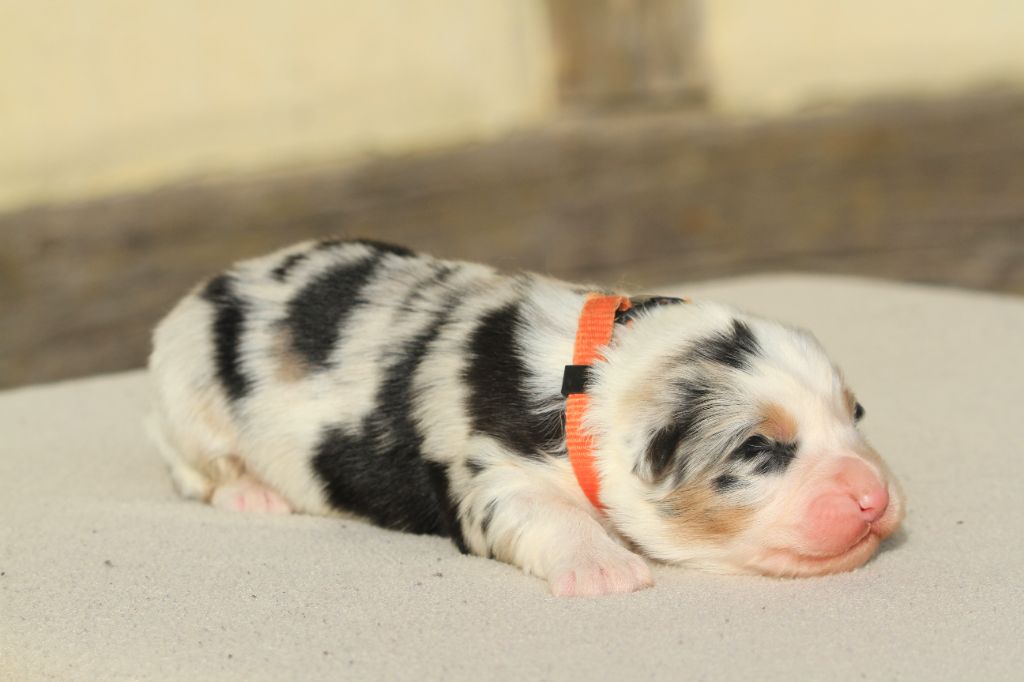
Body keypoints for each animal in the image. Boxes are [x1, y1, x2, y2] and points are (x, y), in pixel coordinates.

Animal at [146, 238, 905, 593]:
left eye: (856, 412)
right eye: (757, 451)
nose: (875, 499)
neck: (597, 375)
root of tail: (197, 295)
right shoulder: (487, 474)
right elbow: (546, 513)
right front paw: (605, 570)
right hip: (186, 406)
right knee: (194, 473)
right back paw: (253, 495)